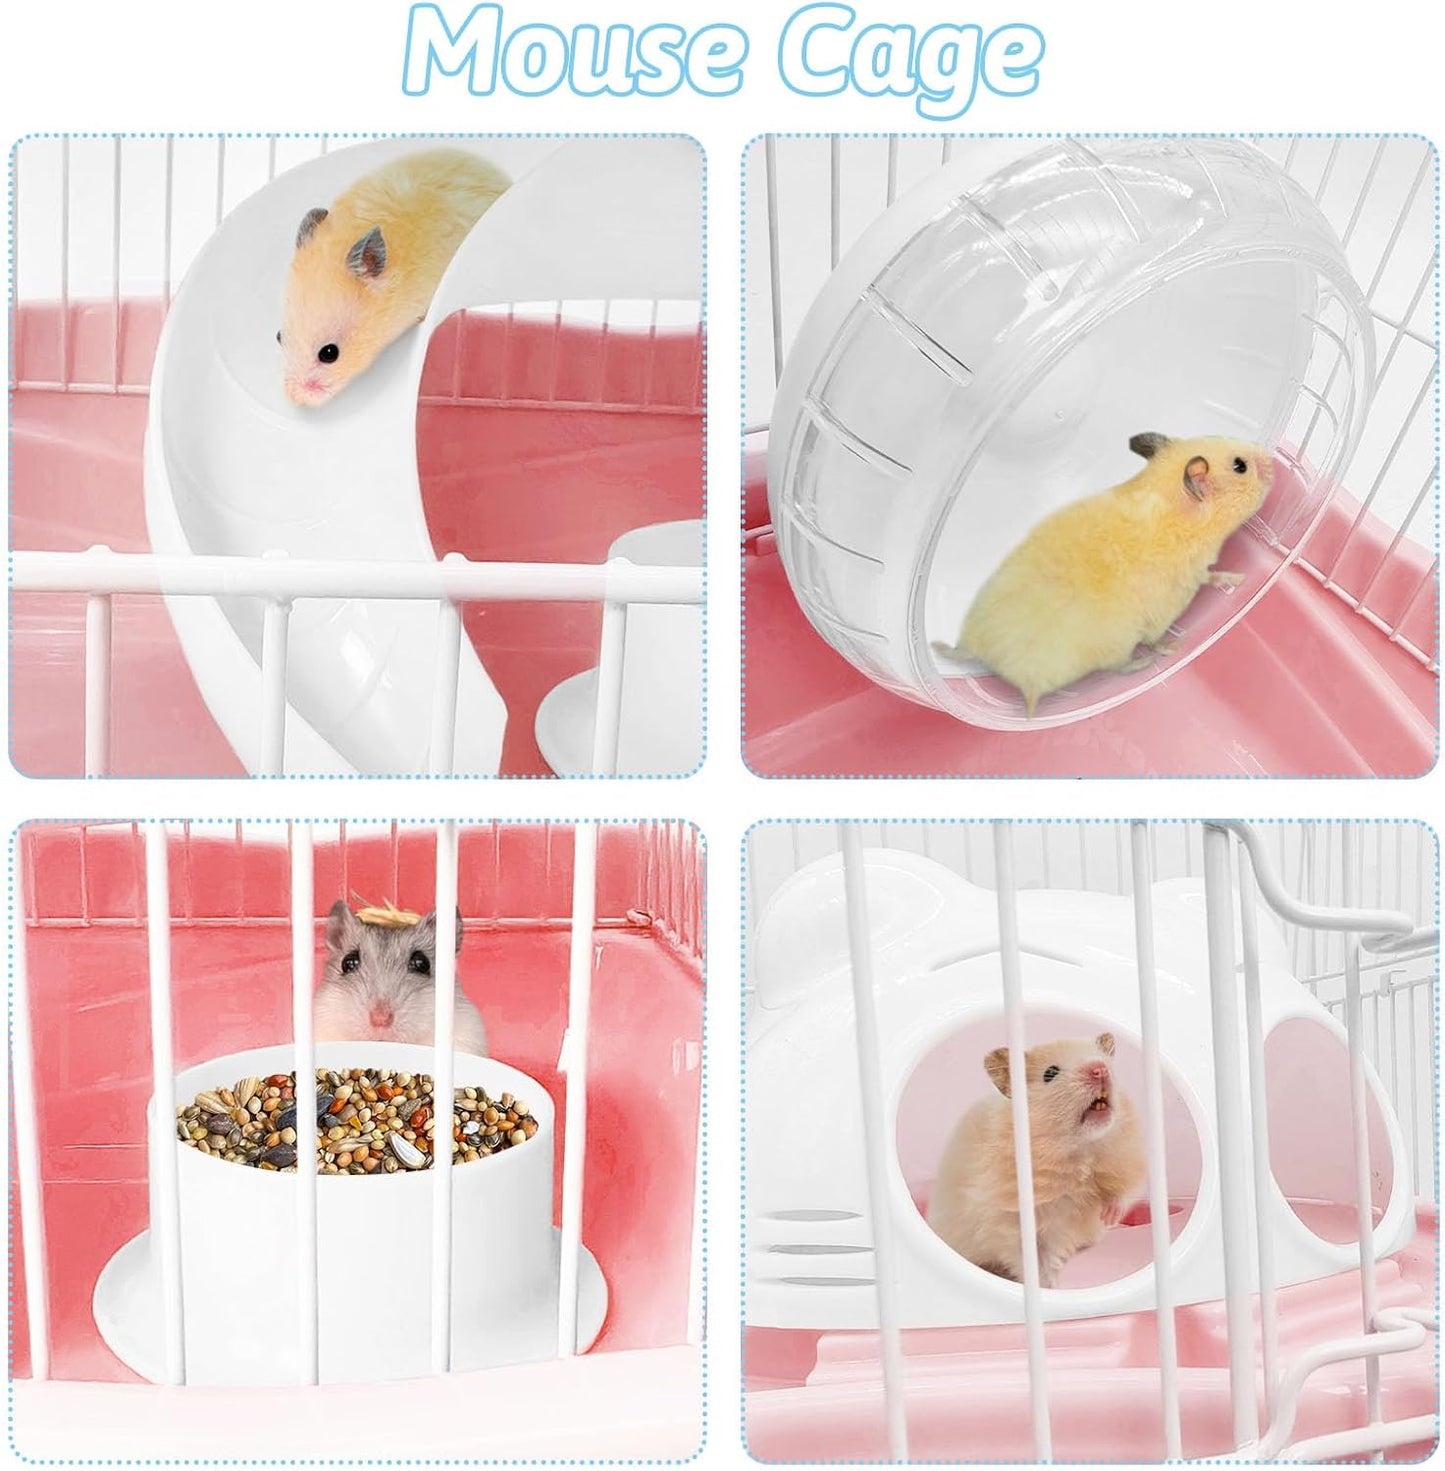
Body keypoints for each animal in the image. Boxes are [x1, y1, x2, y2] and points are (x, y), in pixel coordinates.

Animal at [926, 1033, 1145, 1288]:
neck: (1077, 1151)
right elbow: (1034, 1261)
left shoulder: (1125, 1163)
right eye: (1050, 1073)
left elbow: (1123, 1193)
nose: (1100, 1069)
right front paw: (1046, 1287)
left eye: (1105, 1061)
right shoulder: (1012, 1223)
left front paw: (1108, 1216)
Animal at [933, 432, 1274, 716]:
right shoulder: (1173, 600)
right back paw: (1146, 662)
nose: (1272, 462)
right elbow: (1188, 602)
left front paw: (1237, 579)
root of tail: (981, 651)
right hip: (1116, 646)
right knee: (1120, 667)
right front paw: (1177, 644)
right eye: (1240, 466)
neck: (1176, 514)